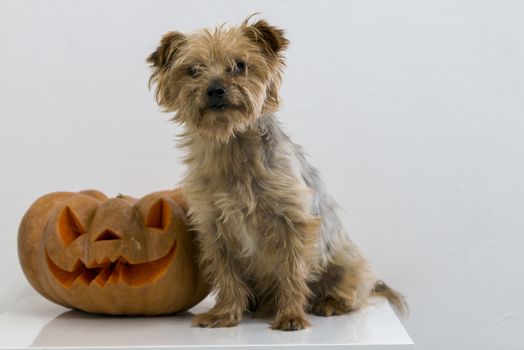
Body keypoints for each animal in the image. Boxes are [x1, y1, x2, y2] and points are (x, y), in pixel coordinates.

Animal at [147, 15, 406, 330]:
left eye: (240, 65)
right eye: (193, 71)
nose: (215, 89)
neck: (231, 143)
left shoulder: (293, 223)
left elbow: (292, 272)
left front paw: (291, 316)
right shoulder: (213, 228)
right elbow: (226, 273)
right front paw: (225, 314)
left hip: (346, 262)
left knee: (353, 289)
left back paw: (328, 303)